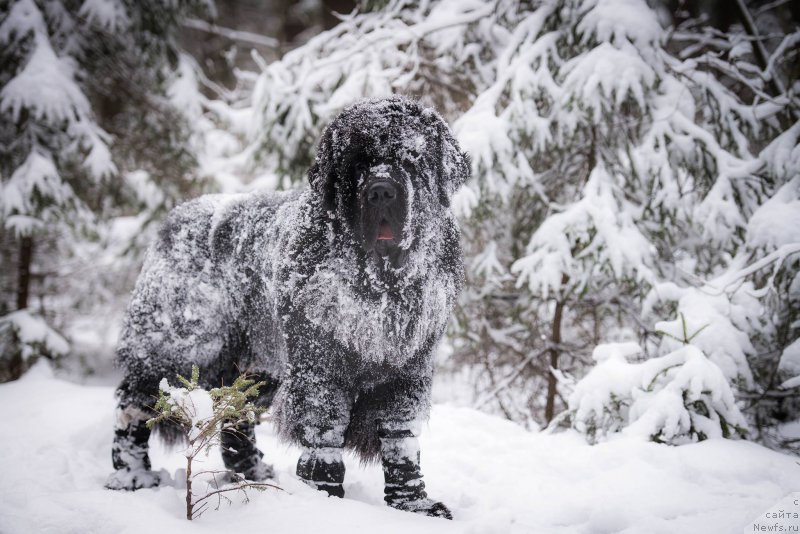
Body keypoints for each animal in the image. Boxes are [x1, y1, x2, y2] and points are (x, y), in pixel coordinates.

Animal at [105, 95, 468, 520]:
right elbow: (323, 433)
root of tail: (173, 218)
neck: (378, 283)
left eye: (412, 158)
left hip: (259, 364)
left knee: (236, 414)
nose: (380, 191)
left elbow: (401, 439)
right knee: (136, 403)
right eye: (356, 163)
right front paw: (324, 497)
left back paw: (251, 474)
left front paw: (413, 504)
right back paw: (131, 474)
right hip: (181, 347)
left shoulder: (408, 370)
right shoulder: (318, 369)